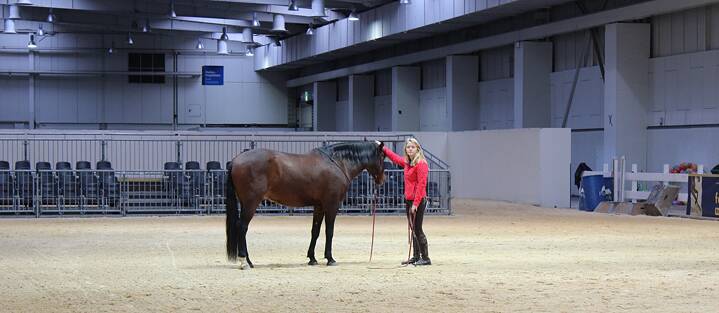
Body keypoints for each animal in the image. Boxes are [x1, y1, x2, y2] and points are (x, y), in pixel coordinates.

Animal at [226, 140, 386, 266]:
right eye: (383, 156)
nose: (382, 180)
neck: (337, 163)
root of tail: (235, 160)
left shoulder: (319, 206)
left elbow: (315, 231)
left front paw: (312, 258)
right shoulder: (332, 205)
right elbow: (329, 231)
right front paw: (330, 259)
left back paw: (248, 260)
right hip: (251, 203)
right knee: (242, 227)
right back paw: (245, 261)